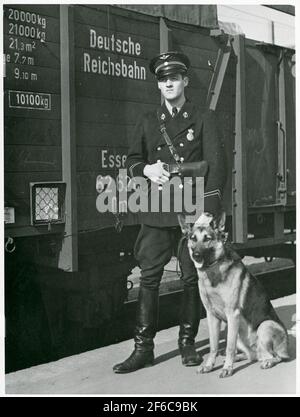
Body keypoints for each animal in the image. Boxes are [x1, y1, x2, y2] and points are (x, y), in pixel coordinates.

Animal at [178, 211, 288, 376]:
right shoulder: (212, 316)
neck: (213, 272)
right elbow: (213, 346)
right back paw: (239, 358)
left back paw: (266, 362)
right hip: (238, 335)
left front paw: (227, 369)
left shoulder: (232, 314)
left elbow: (229, 347)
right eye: (193, 238)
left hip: (264, 326)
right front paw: (209, 365)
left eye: (207, 238)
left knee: (275, 357)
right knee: (252, 356)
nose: (196, 255)